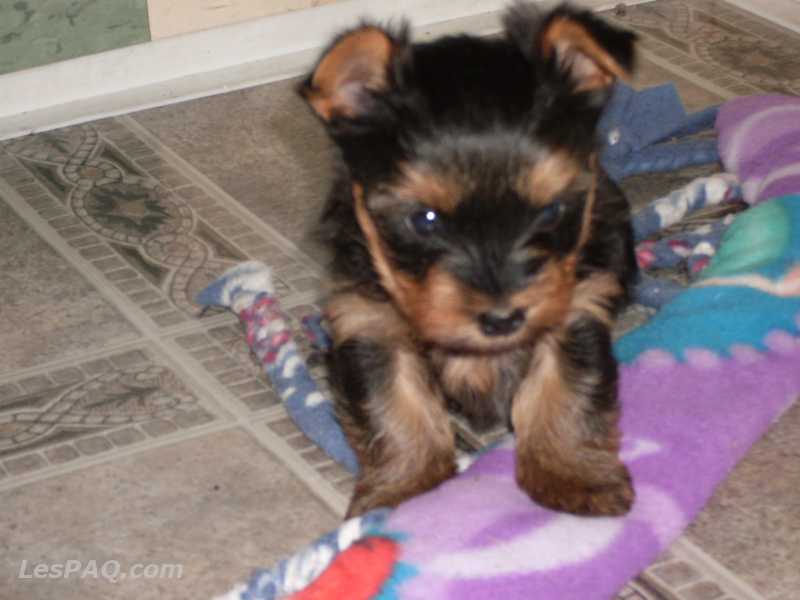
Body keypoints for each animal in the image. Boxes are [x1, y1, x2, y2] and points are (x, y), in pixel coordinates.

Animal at [300, 1, 636, 516]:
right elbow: (394, 404)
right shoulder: (368, 317)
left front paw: (574, 476)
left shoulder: (576, 301)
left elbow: (566, 387)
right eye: (426, 220)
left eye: (551, 211)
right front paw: (406, 490)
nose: (503, 319)